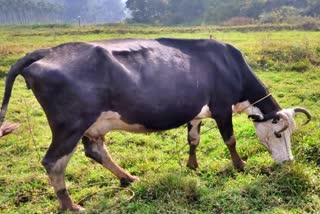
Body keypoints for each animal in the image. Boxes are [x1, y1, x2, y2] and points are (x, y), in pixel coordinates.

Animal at [0, 38, 310, 211]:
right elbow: (229, 139)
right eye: (278, 133)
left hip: (90, 126)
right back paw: (70, 205)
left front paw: (192, 165)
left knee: (96, 152)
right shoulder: (222, 107)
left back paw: (128, 178)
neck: (229, 66)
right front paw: (240, 165)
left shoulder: (196, 111)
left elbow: (193, 139)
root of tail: (46, 52)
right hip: (69, 126)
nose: (288, 163)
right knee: (54, 163)